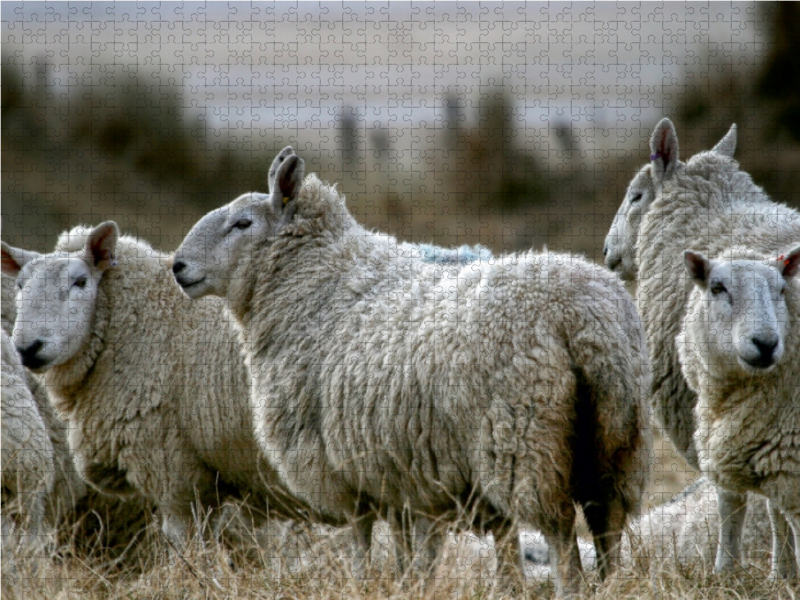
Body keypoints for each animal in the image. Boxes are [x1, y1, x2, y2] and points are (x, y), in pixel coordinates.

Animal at [172, 146, 652, 596]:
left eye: (242, 223)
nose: (178, 266)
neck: (317, 285)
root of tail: (581, 315)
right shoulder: (397, 467)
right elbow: (410, 540)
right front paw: (411, 582)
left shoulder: (340, 462)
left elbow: (361, 533)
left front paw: (362, 580)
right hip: (614, 437)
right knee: (607, 520)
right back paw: (613, 583)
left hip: (523, 439)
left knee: (558, 529)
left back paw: (570, 587)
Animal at [680, 247, 800, 576]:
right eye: (717, 288)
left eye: (781, 290)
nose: (766, 343)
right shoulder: (727, 450)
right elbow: (730, 516)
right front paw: (725, 574)